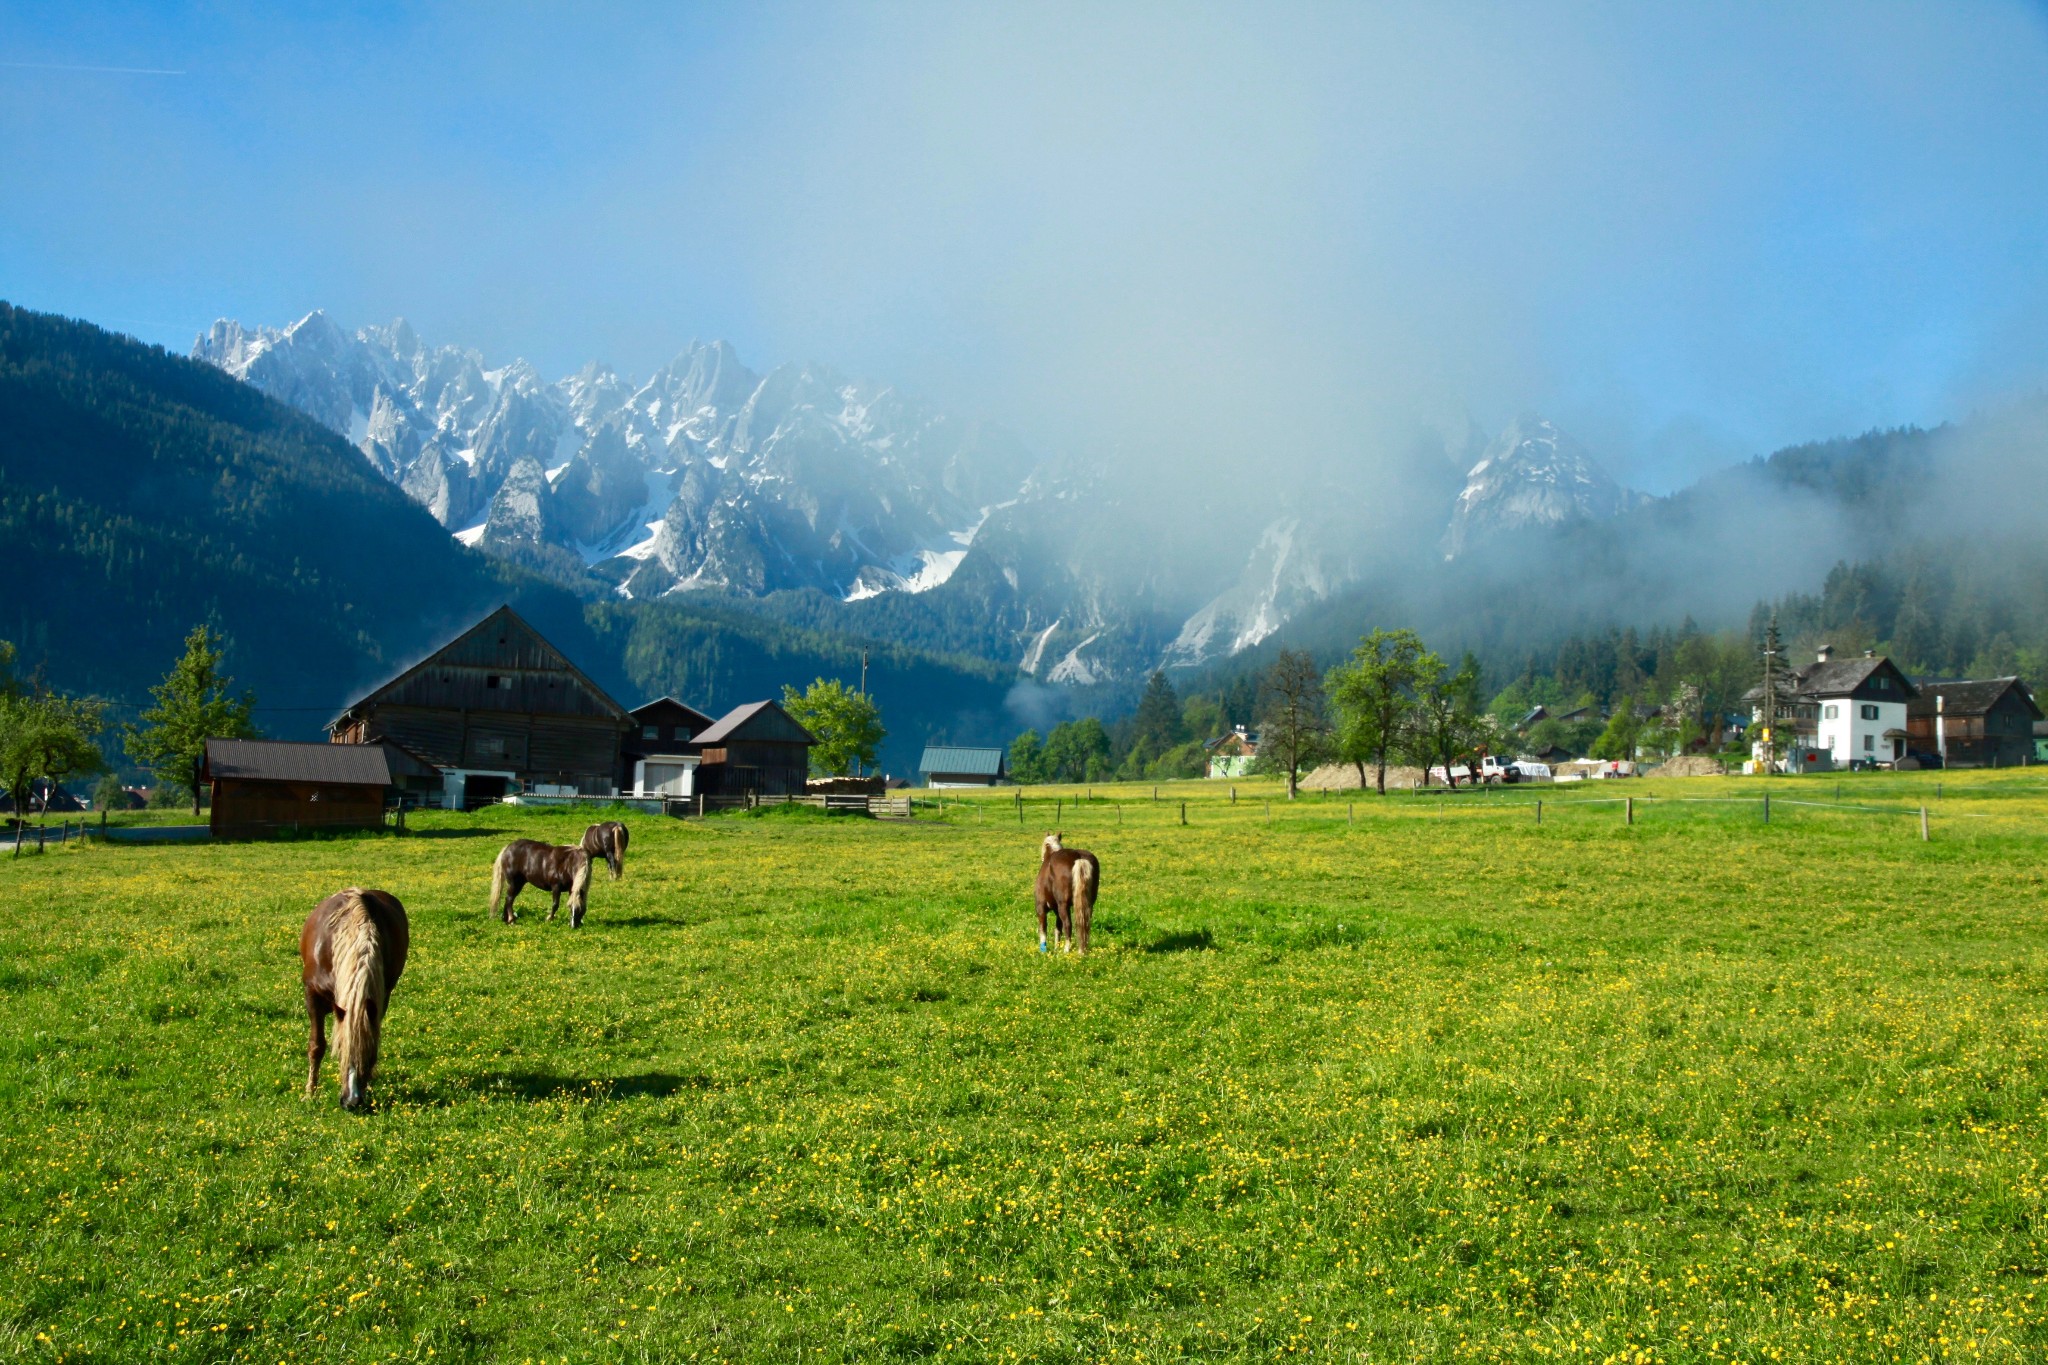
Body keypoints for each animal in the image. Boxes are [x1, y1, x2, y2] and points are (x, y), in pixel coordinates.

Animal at [299, 896, 407, 1113]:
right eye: (341, 1048)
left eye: (369, 1053)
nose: (352, 1102)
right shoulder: (312, 997)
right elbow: (316, 1046)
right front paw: (310, 1093)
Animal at [1032, 826, 1097, 957]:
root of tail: (1079, 857)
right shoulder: (1057, 910)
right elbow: (1057, 929)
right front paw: (1056, 948)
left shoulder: (1041, 908)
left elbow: (1043, 929)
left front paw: (1043, 950)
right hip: (1088, 904)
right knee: (1085, 924)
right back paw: (1082, 950)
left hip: (1063, 905)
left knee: (1068, 925)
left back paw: (1067, 949)